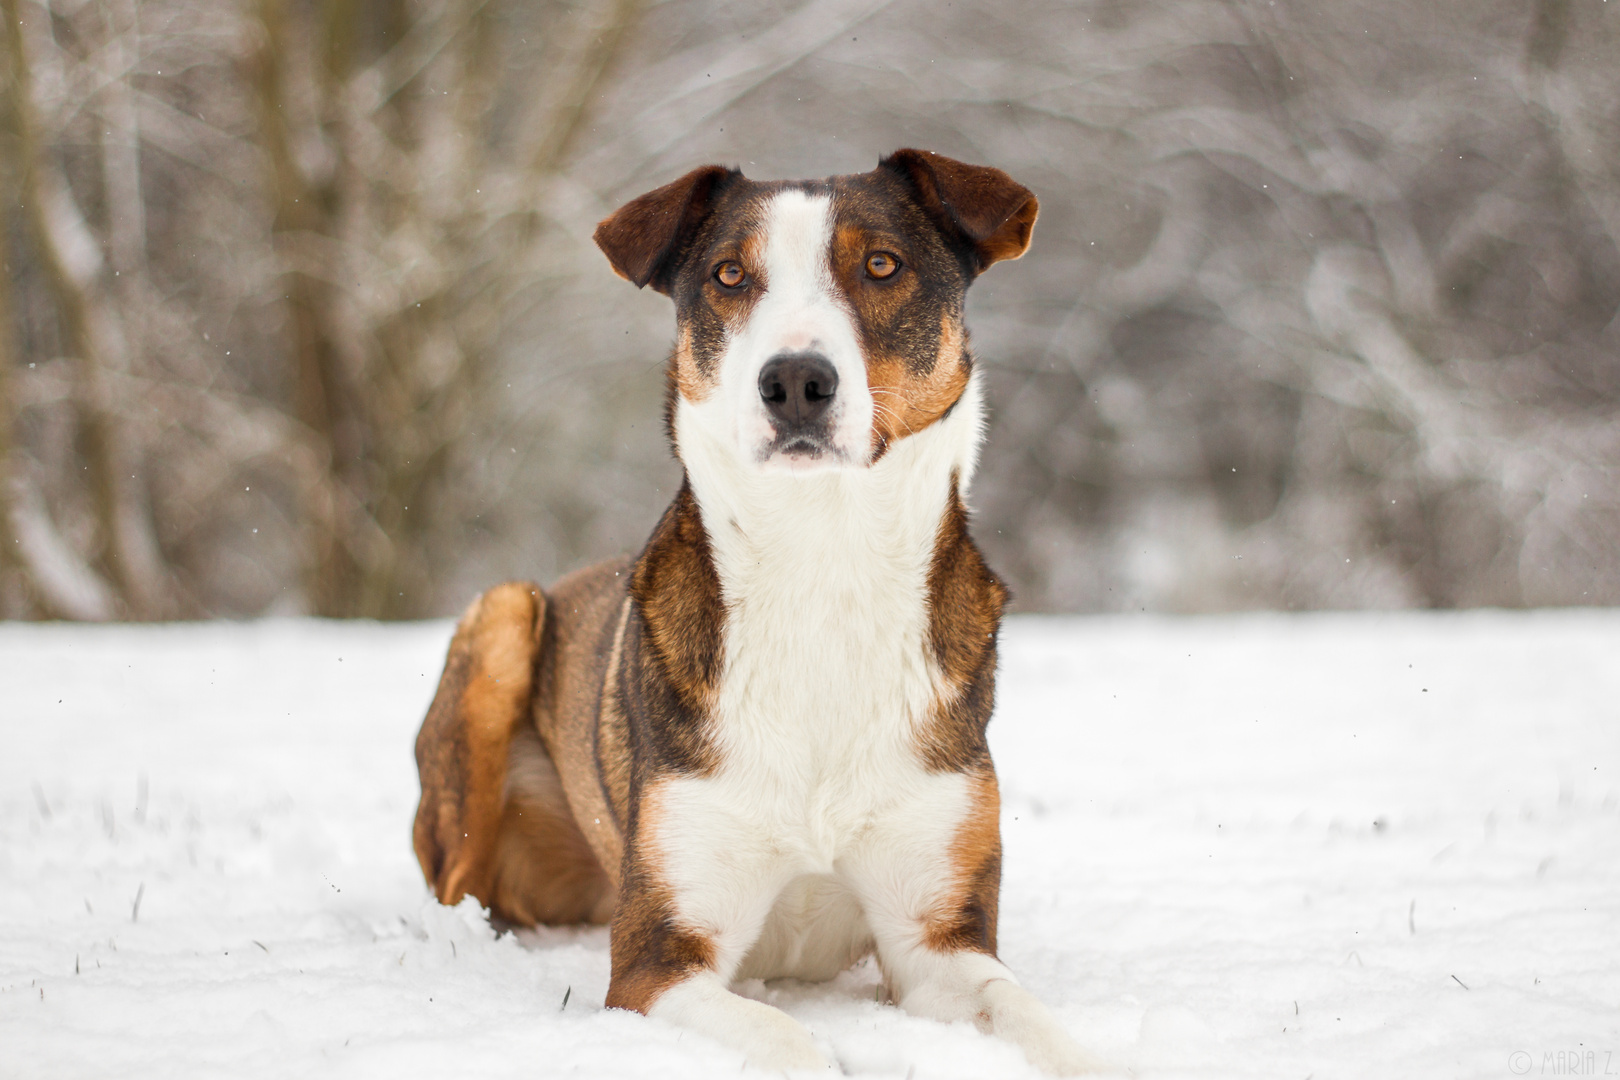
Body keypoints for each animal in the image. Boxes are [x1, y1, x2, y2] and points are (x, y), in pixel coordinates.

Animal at [411, 149, 1095, 1075]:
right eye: (730, 275)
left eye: (883, 265)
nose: (796, 381)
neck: (823, 565)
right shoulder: (656, 960)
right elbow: (792, 1043)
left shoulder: (938, 941)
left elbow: (1036, 1019)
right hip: (504, 620)